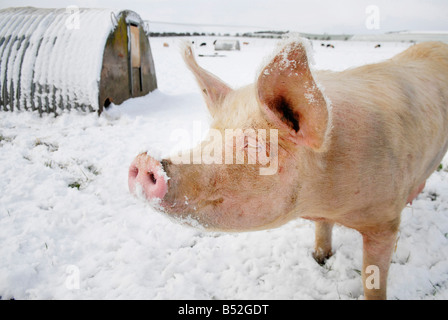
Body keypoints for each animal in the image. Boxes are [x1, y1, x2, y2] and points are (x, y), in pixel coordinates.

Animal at [128, 38, 448, 300]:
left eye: (254, 146)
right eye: (210, 137)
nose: (146, 161)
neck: (320, 200)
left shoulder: (385, 219)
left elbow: (374, 278)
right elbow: (322, 228)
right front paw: (319, 257)